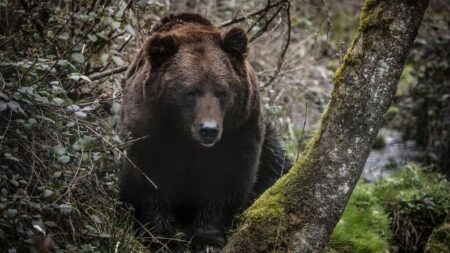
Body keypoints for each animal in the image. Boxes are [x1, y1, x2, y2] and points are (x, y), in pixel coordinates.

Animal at [118, 12, 290, 253]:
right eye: (190, 92)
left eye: (222, 92)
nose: (209, 130)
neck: (185, 135)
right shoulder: (149, 125)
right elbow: (147, 176)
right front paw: (162, 239)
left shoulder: (239, 129)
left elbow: (227, 180)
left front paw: (208, 240)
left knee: (277, 166)